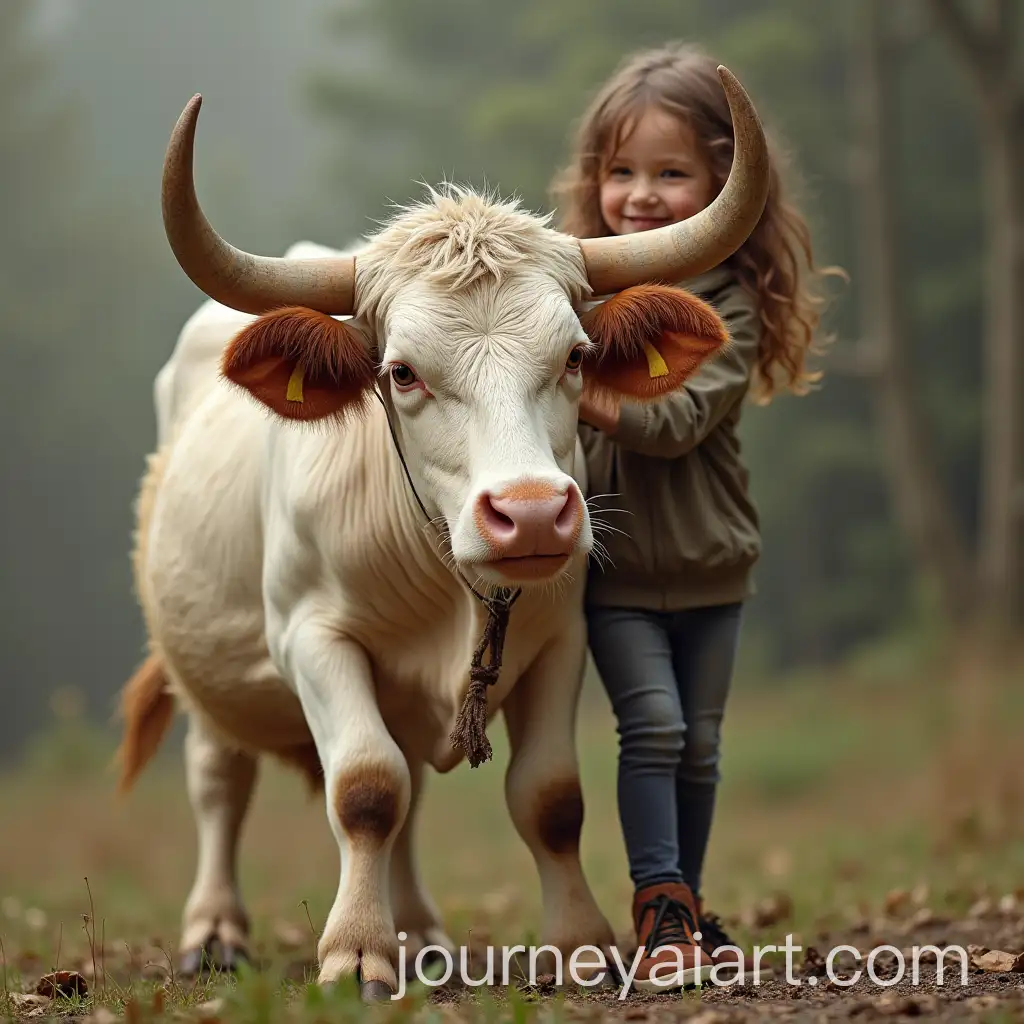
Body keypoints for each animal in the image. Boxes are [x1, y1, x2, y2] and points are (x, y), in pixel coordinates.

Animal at [115, 66, 769, 1001]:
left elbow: (549, 797)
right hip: (205, 669)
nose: (530, 511)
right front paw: (355, 953)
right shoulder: (310, 638)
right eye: (401, 372)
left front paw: (578, 943)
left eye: (576, 356)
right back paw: (215, 933)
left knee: (412, 790)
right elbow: (364, 787)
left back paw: (420, 929)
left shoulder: (561, 637)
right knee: (221, 779)